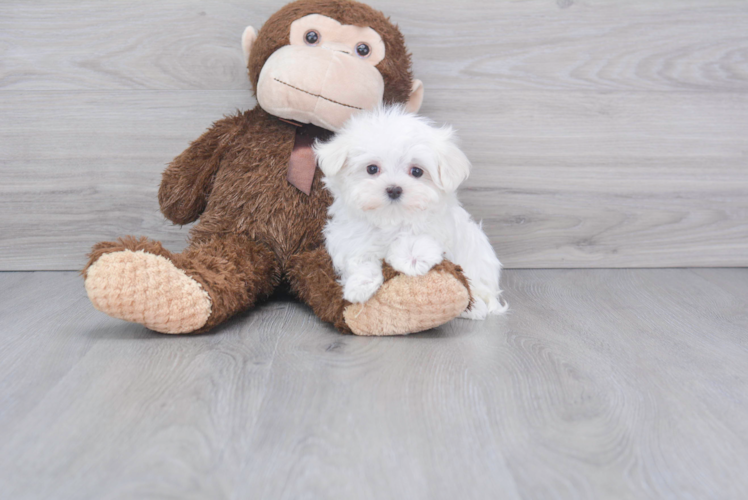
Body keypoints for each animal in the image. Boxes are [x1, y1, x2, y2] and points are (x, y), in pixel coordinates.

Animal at [312, 107, 506, 322]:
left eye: (417, 171)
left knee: (480, 289)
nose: (394, 189)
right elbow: (360, 257)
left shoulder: (439, 227)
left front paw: (412, 257)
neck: (391, 218)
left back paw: (475, 307)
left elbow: (420, 237)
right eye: (372, 169)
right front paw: (360, 284)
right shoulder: (351, 238)